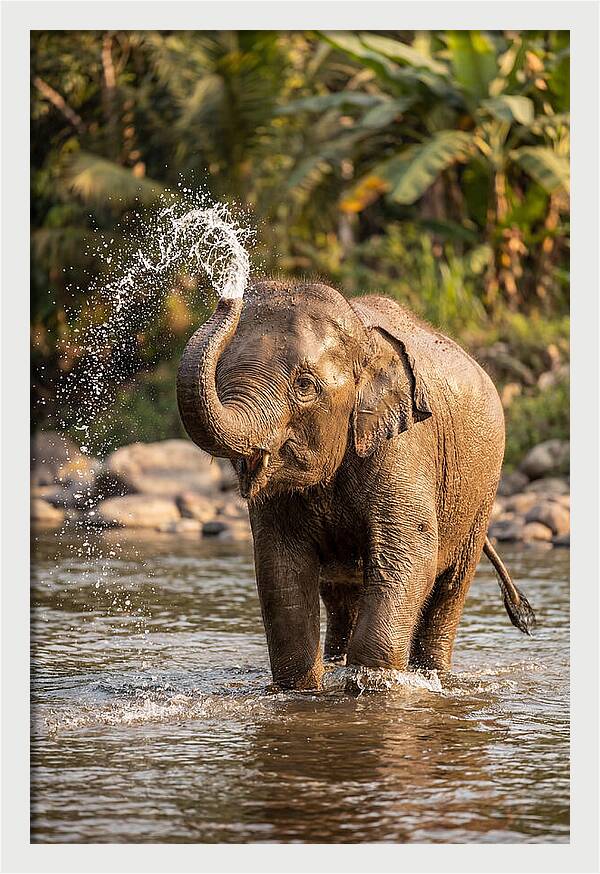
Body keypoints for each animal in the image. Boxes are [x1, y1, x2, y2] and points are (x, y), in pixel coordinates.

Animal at [177, 280, 535, 690]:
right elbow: (280, 567)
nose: (228, 296)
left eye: (305, 386)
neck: (363, 338)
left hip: (481, 494)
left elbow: (410, 553)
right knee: (340, 594)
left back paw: (432, 673)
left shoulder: (403, 447)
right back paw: (337, 661)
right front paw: (303, 688)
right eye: (220, 376)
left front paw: (371, 683)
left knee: (449, 588)